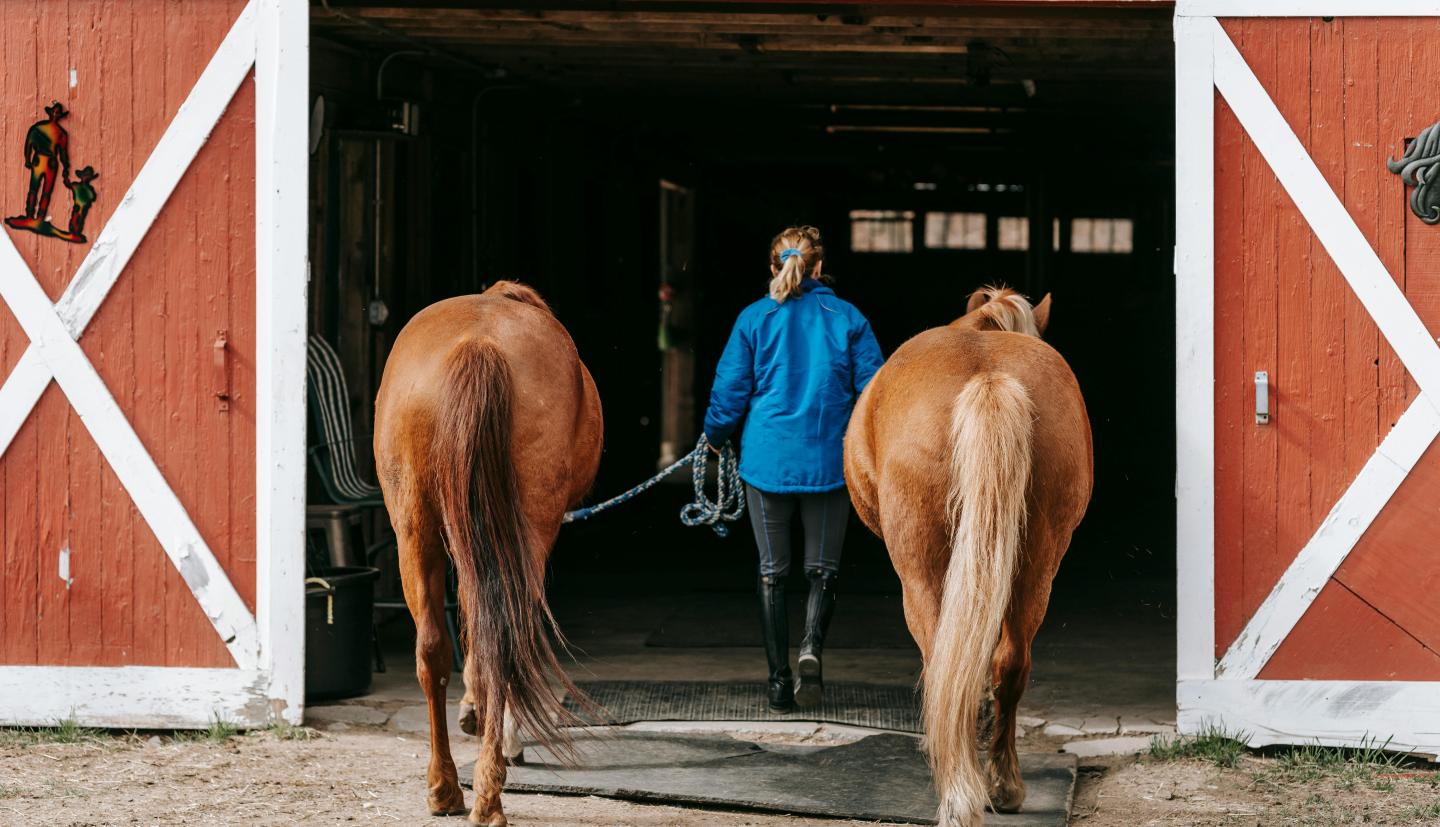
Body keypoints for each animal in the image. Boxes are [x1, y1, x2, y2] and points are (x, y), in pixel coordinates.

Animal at [373, 280, 603, 826]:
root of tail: (480, 346)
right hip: (527, 533)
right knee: (506, 643)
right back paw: (488, 791)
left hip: (414, 530)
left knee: (432, 649)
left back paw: (445, 789)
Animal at [843, 285, 1092, 826]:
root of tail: (987, 377)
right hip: (1037, 565)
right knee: (1009, 662)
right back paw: (1003, 786)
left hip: (920, 574)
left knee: (942, 662)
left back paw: (959, 793)